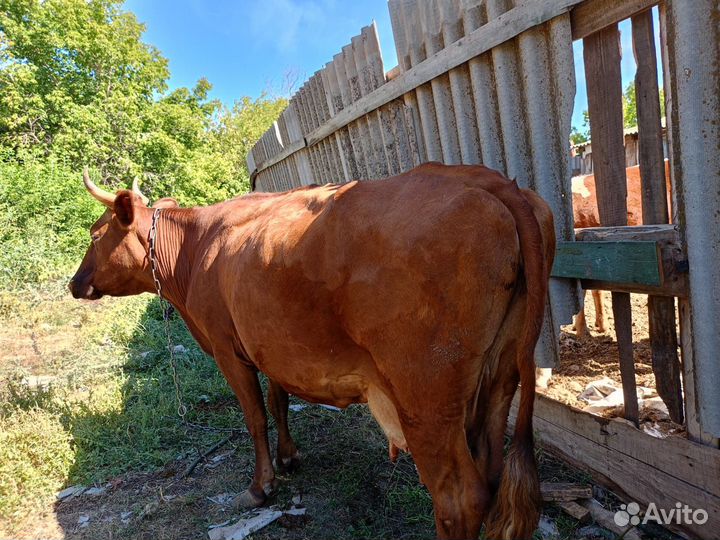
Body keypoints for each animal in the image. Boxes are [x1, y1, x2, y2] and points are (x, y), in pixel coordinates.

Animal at [70, 162, 555, 540]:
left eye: (94, 235)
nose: (74, 284)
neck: (196, 248)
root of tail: (490, 181)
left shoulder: (228, 350)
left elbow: (254, 416)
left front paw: (261, 485)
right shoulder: (270, 346)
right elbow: (278, 400)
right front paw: (289, 457)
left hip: (426, 399)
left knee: (458, 499)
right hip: (499, 378)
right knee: (491, 475)